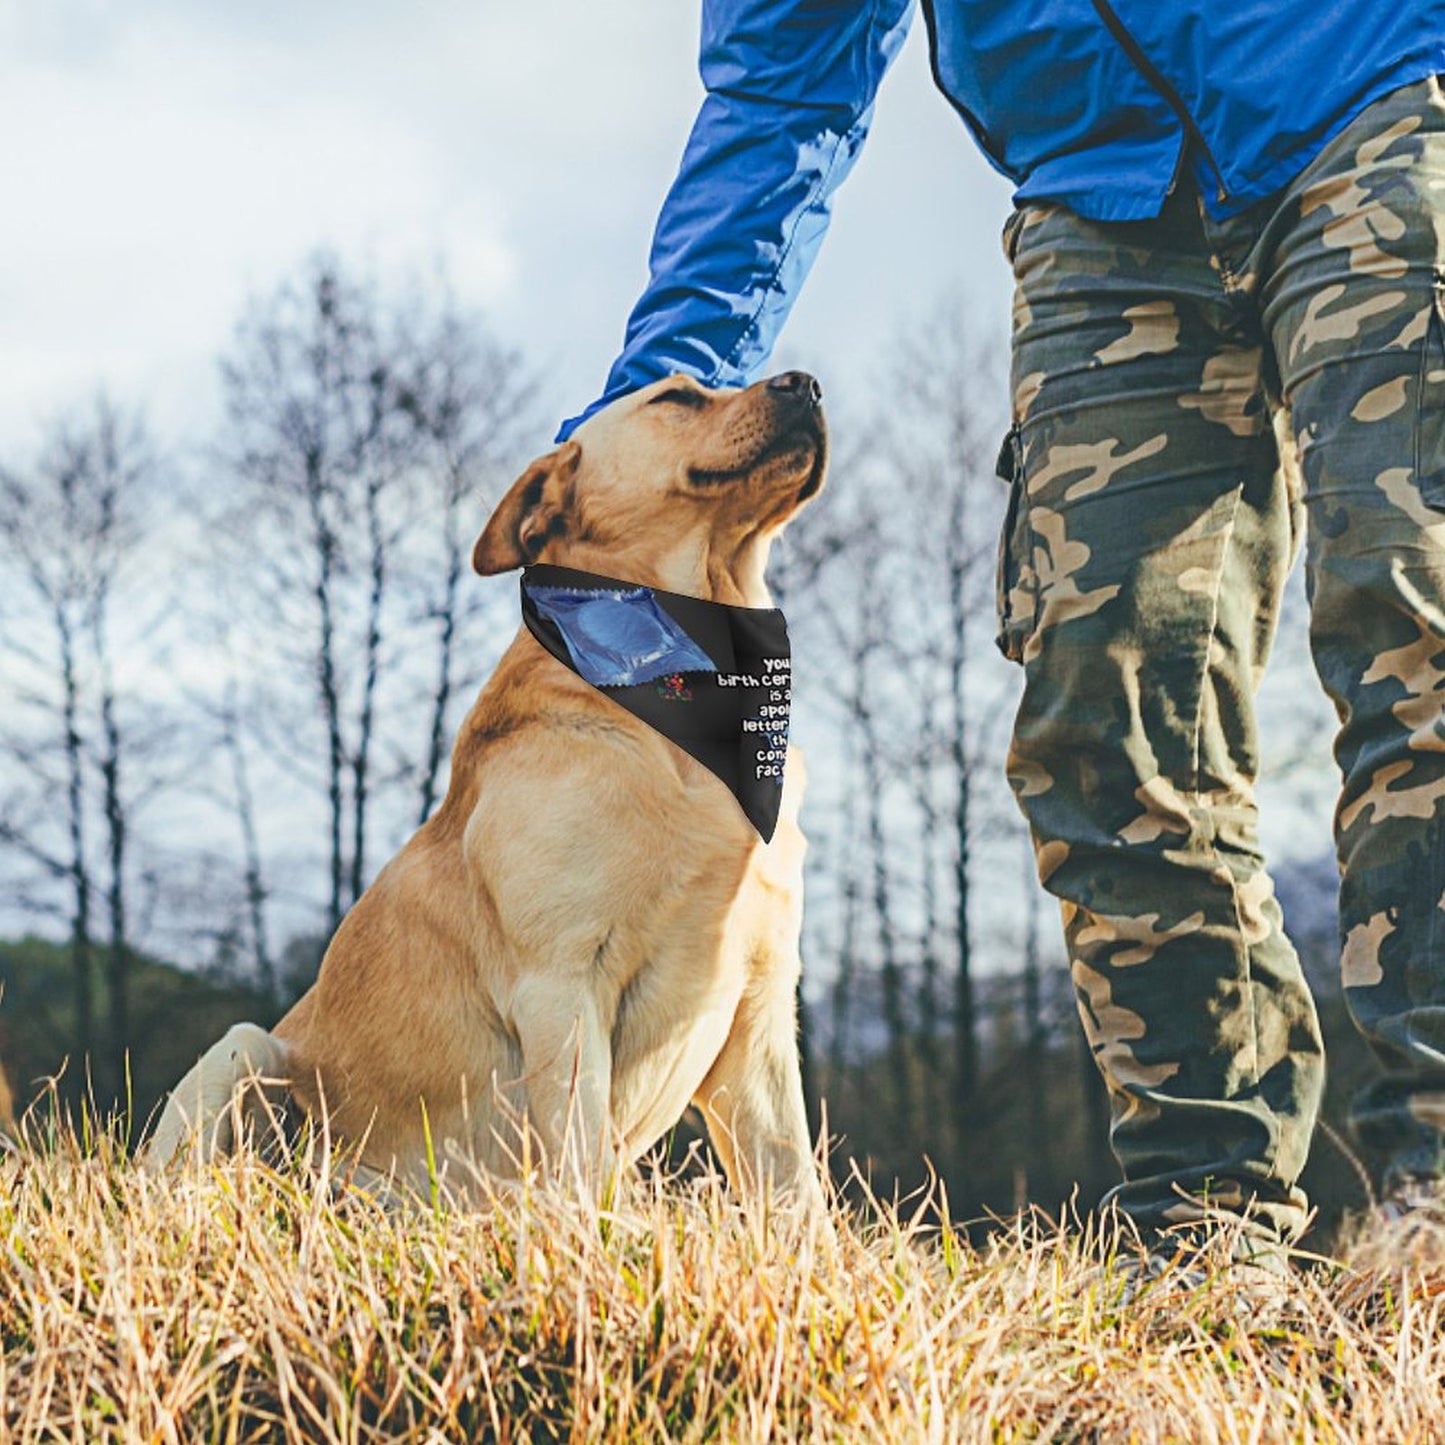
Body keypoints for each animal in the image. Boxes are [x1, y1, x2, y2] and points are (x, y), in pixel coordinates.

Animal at [148, 372, 832, 1208]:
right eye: (675, 397)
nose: (806, 383)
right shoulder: (561, 982)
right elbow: (583, 1165)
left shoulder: (760, 1002)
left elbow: (797, 1191)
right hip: (244, 1051)